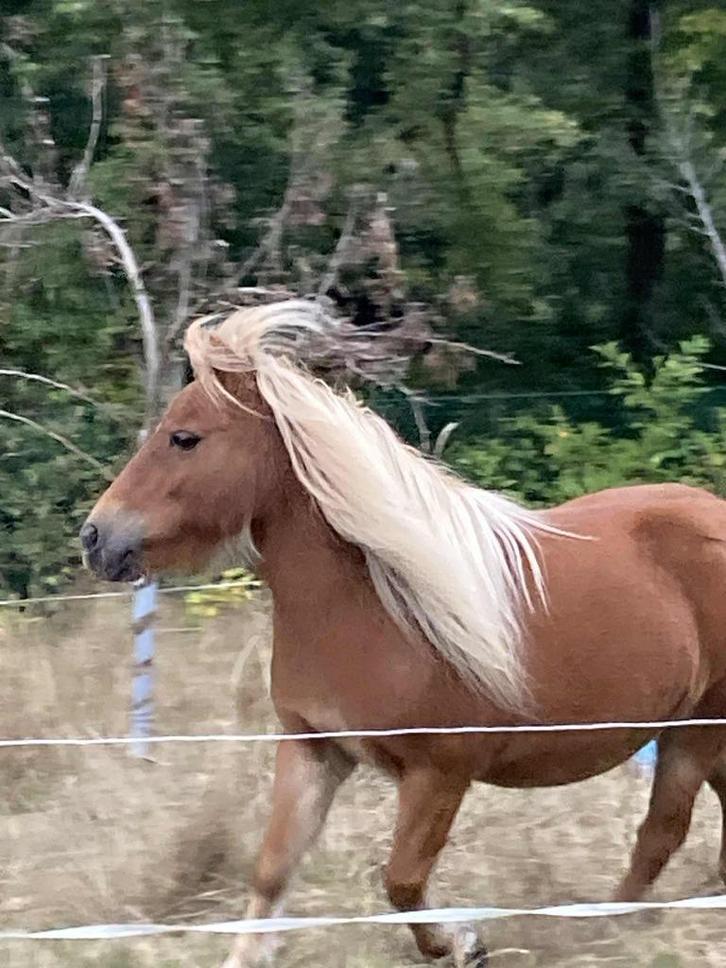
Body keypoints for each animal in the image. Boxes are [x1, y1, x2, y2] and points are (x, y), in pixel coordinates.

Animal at [81, 300, 726, 968]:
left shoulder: (438, 775)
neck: (373, 609)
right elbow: (272, 872)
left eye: (185, 438)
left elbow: (403, 881)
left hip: (696, 730)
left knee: (659, 833)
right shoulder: (313, 750)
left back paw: (602, 931)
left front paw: (464, 943)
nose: (95, 537)